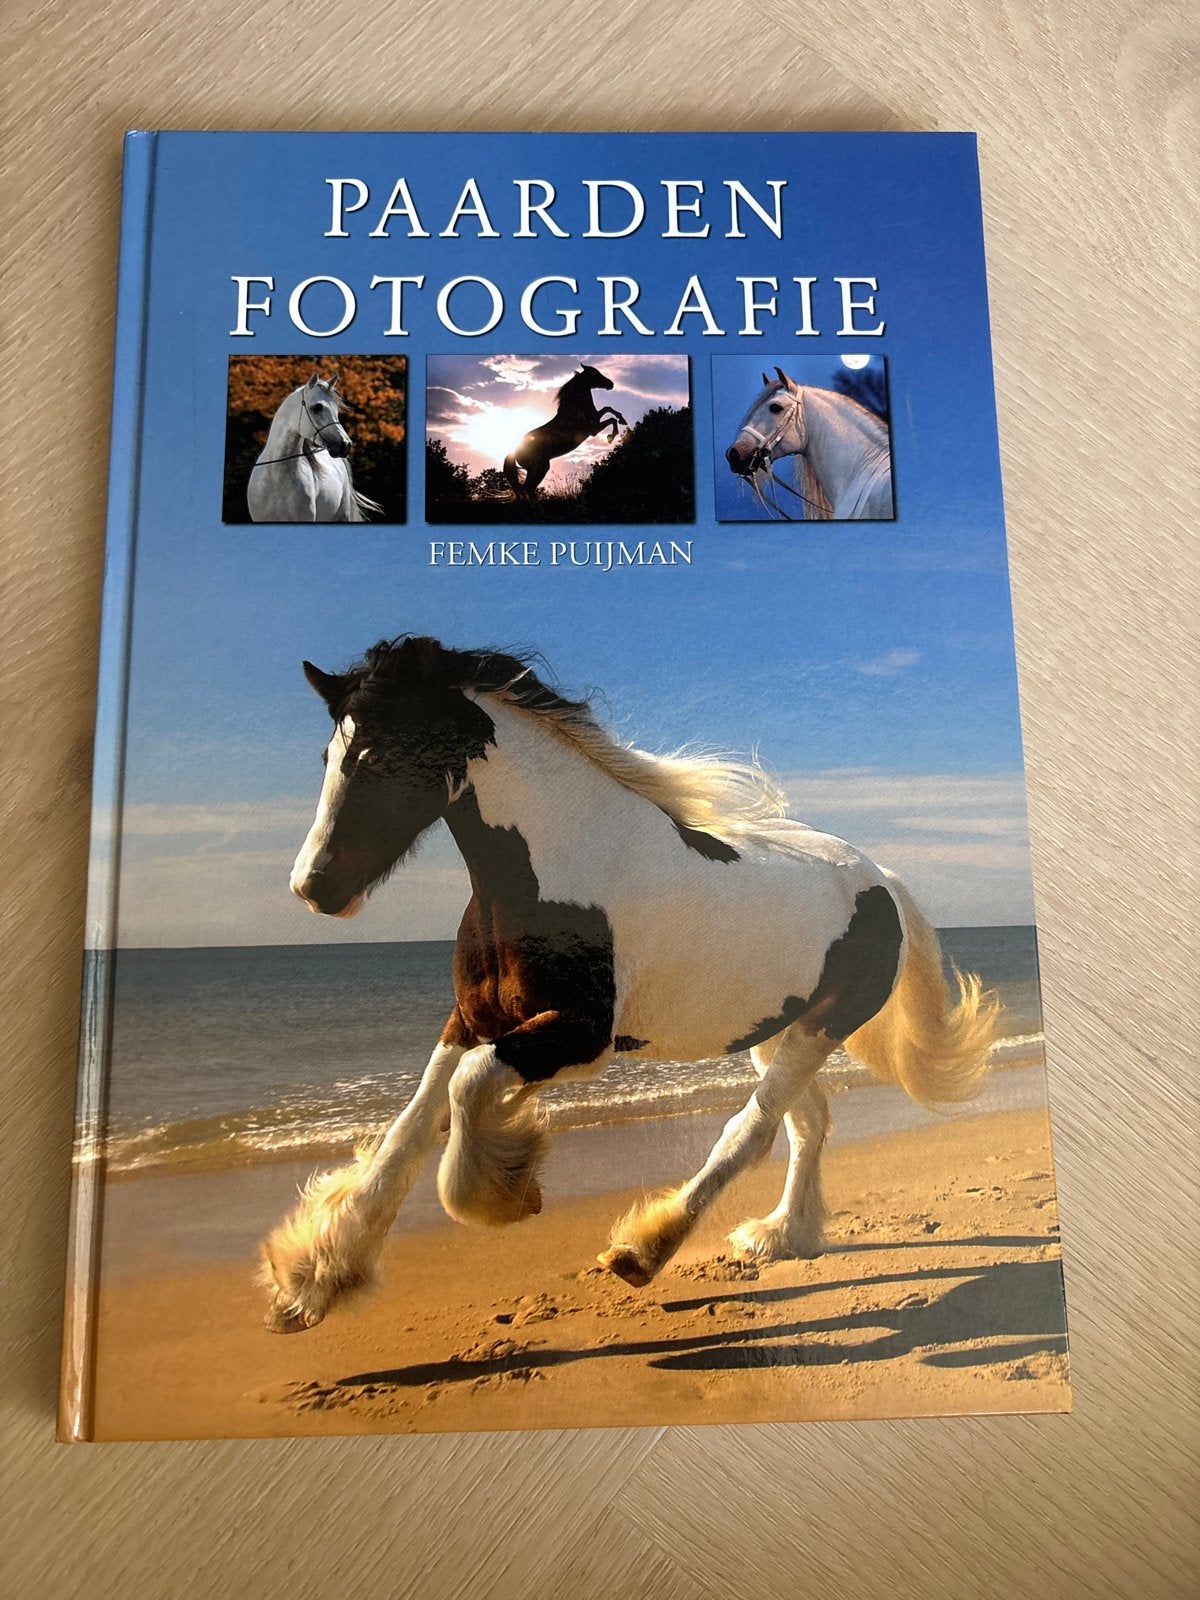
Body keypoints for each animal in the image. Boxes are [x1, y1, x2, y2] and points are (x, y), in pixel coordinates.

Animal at [261, 635, 997, 1333]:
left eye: (378, 755)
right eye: (328, 756)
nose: (313, 887)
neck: (556, 868)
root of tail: (880, 880)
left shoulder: (581, 1039)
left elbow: (468, 1089)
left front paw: (506, 1194)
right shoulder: (471, 1021)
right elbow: (408, 1131)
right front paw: (313, 1280)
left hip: (822, 1026)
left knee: (753, 1129)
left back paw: (644, 1250)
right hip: (777, 1029)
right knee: (807, 1124)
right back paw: (782, 1236)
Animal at [502, 366, 627, 499]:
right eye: (594, 373)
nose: (611, 384)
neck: (574, 409)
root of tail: (515, 452)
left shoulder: (596, 420)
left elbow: (608, 409)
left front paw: (622, 420)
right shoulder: (594, 429)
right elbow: (611, 419)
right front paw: (611, 436)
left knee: (524, 489)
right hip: (540, 468)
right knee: (528, 488)